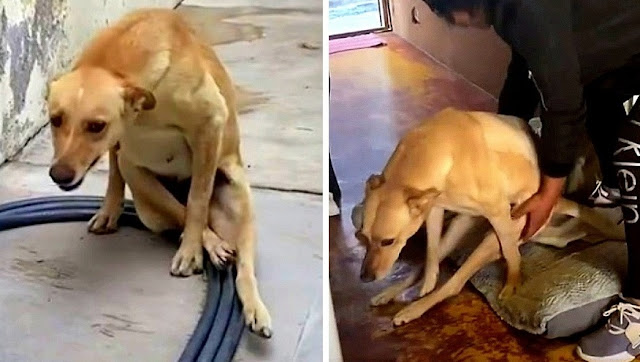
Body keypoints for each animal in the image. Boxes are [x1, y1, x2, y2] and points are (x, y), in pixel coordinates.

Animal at [45, 7, 270, 336]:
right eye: (55, 119)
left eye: (97, 126)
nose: (59, 175)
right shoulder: (122, 151)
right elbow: (119, 178)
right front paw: (109, 211)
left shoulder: (210, 124)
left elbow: (197, 200)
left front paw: (190, 251)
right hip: (143, 193)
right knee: (173, 209)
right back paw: (210, 242)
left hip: (240, 200)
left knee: (244, 267)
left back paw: (255, 307)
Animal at [356, 107, 620, 326]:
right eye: (363, 237)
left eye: (388, 241)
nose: (365, 278)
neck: (434, 149)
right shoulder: (434, 209)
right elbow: (430, 252)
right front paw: (428, 280)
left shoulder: (500, 213)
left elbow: (513, 257)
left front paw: (512, 283)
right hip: (462, 226)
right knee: (431, 262)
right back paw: (393, 293)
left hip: (495, 236)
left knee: (456, 283)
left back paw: (413, 309)